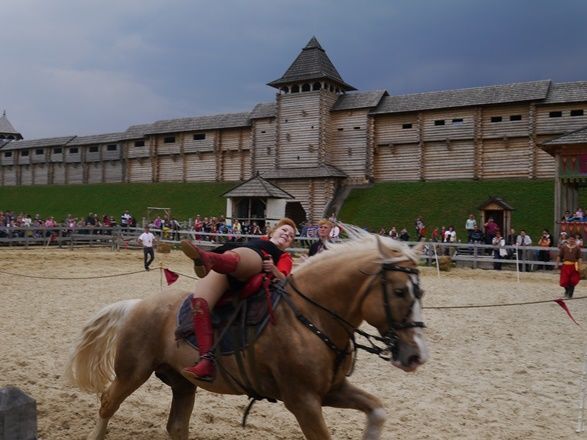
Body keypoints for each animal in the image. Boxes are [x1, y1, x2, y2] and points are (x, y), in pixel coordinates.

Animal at [66, 229, 430, 438]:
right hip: (133, 371)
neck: (311, 315)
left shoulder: (332, 390)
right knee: (107, 404)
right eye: (399, 292)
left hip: (181, 383)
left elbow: (377, 410)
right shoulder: (303, 401)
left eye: (420, 292)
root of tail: (138, 304)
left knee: (176, 426)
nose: (416, 355)